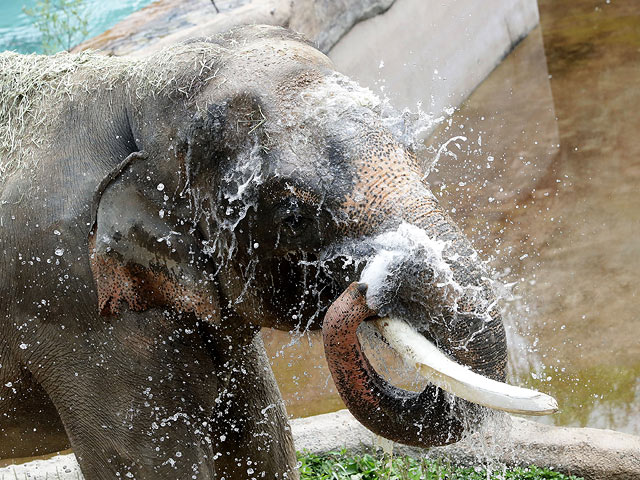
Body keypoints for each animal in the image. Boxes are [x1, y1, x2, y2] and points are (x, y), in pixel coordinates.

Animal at [0, 25, 556, 480]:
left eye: (413, 151)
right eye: (293, 214)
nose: (372, 282)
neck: (134, 83)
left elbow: (262, 439)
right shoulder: (74, 306)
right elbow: (149, 463)